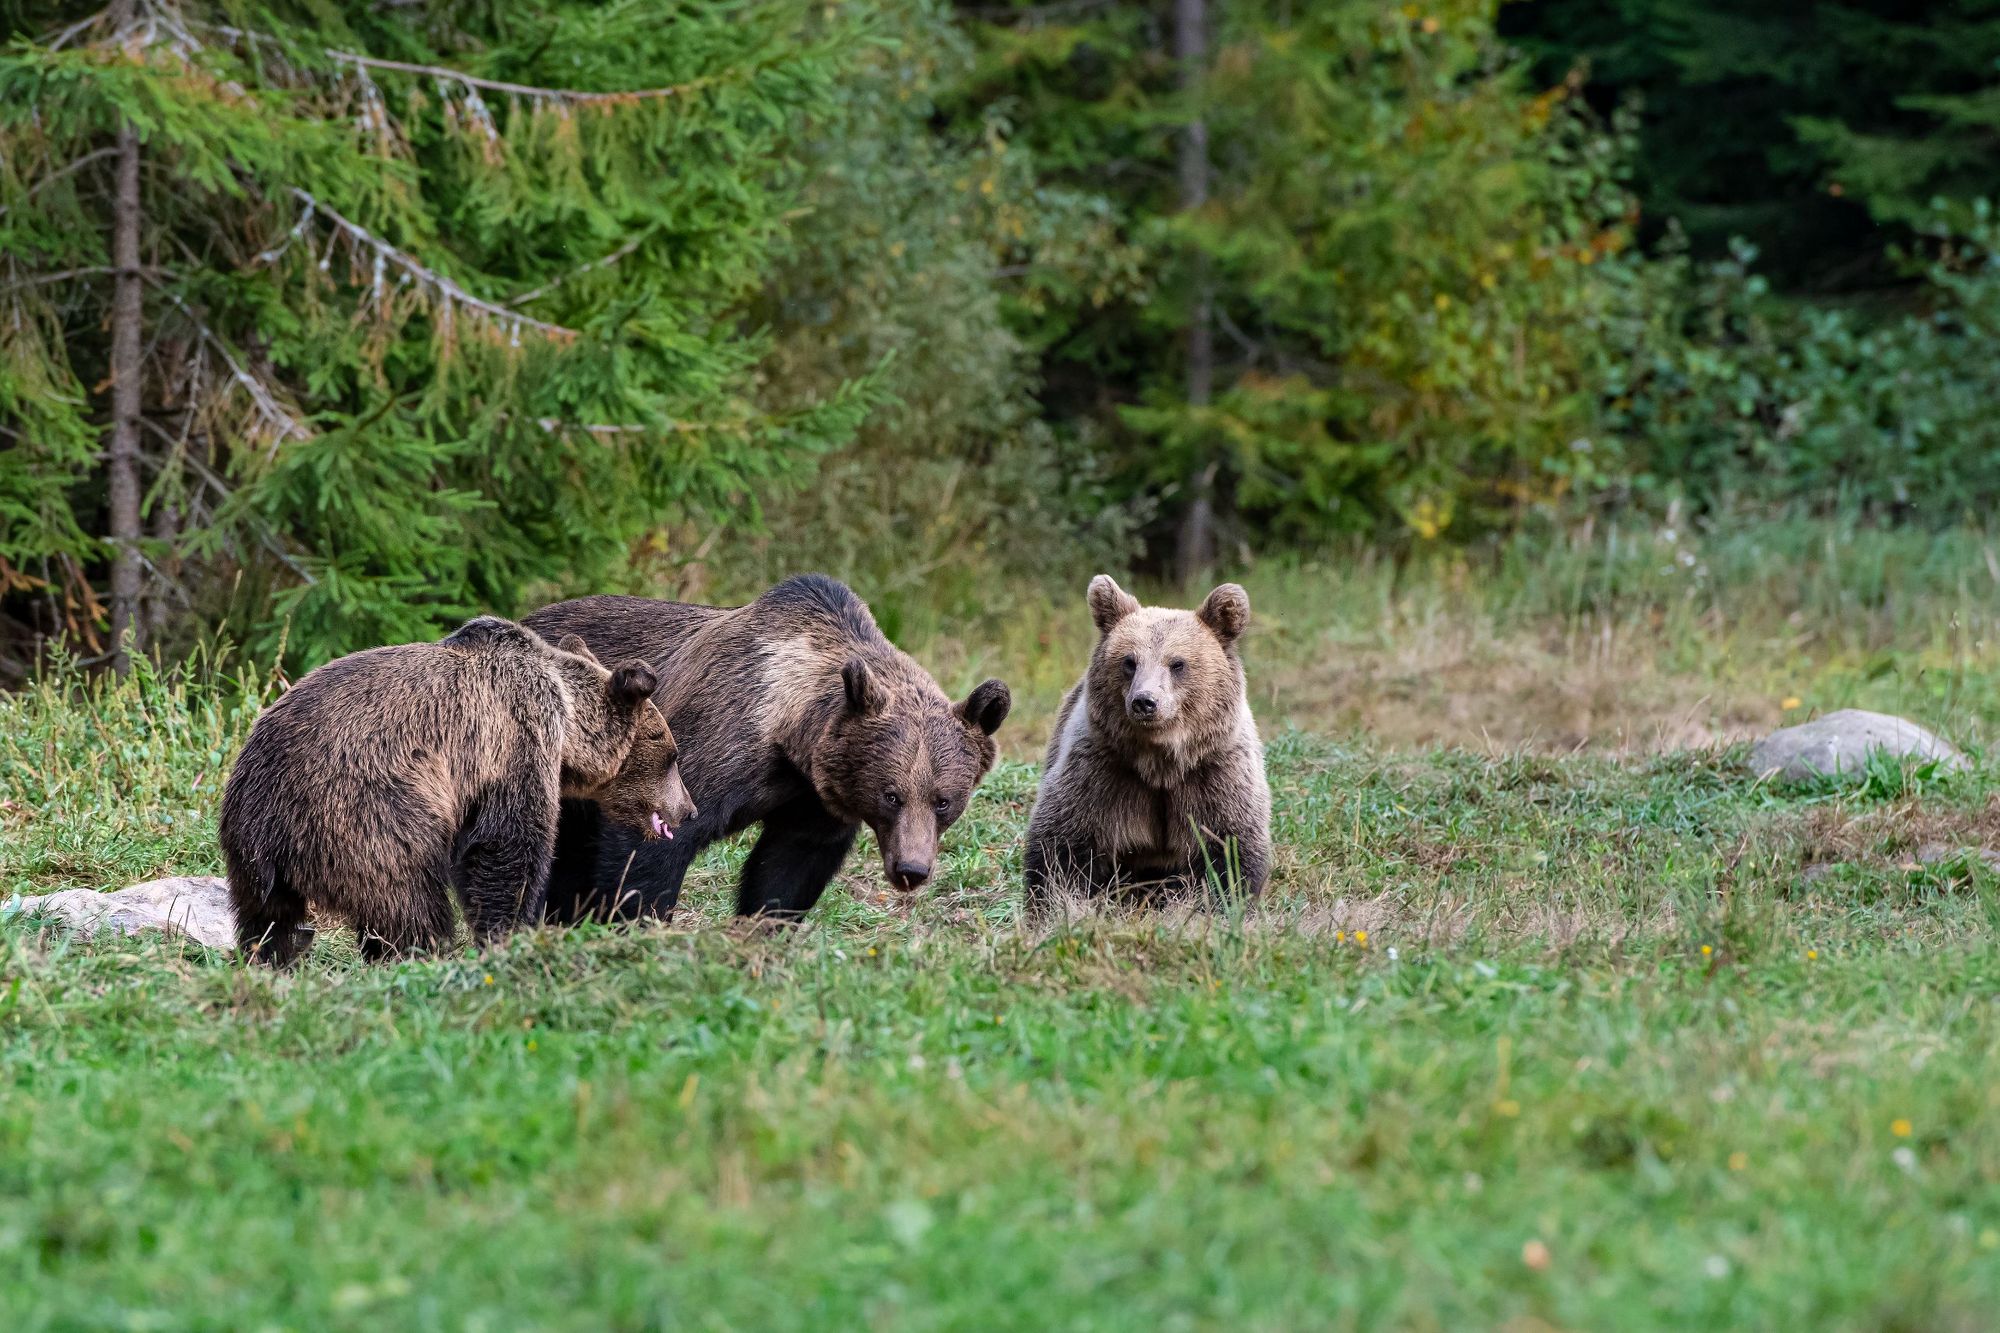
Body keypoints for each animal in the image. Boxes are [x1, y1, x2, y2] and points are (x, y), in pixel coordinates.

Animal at [221, 616, 696, 960]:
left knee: (267, 916)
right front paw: (508, 931)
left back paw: (274, 954)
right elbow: (506, 842)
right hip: (364, 812)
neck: (568, 721)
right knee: (406, 893)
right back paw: (419, 951)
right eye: (672, 754)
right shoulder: (514, 738)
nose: (688, 810)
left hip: (248, 842)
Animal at [524, 572, 1008, 924]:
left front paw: (763, 926)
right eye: (891, 795)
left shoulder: (815, 799)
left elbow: (787, 869)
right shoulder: (705, 746)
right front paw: (631, 921)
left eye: (943, 801)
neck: (787, 736)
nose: (912, 869)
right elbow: (650, 846)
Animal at [1024, 572, 1272, 904]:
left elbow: (1229, 843)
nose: (1144, 701)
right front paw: (1054, 899)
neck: (1160, 762)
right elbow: (1063, 840)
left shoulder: (1214, 772)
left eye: (1177, 663)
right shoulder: (1102, 771)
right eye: (1129, 661)